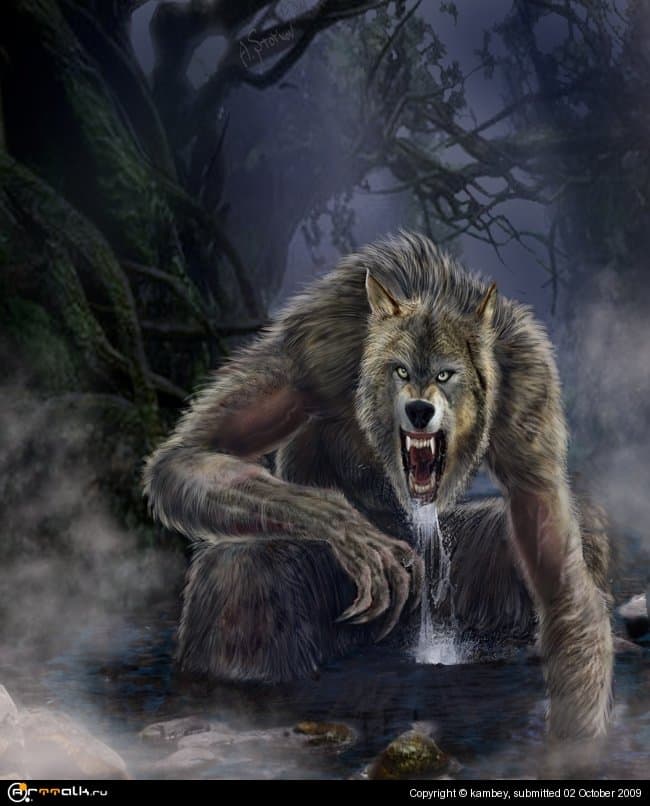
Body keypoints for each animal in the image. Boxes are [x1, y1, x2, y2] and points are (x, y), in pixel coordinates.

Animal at [144, 232, 612, 740]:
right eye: (400, 370)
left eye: (446, 373)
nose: (419, 410)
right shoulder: (315, 342)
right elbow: (190, 452)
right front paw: (343, 524)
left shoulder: (529, 385)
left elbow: (561, 581)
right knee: (241, 563)